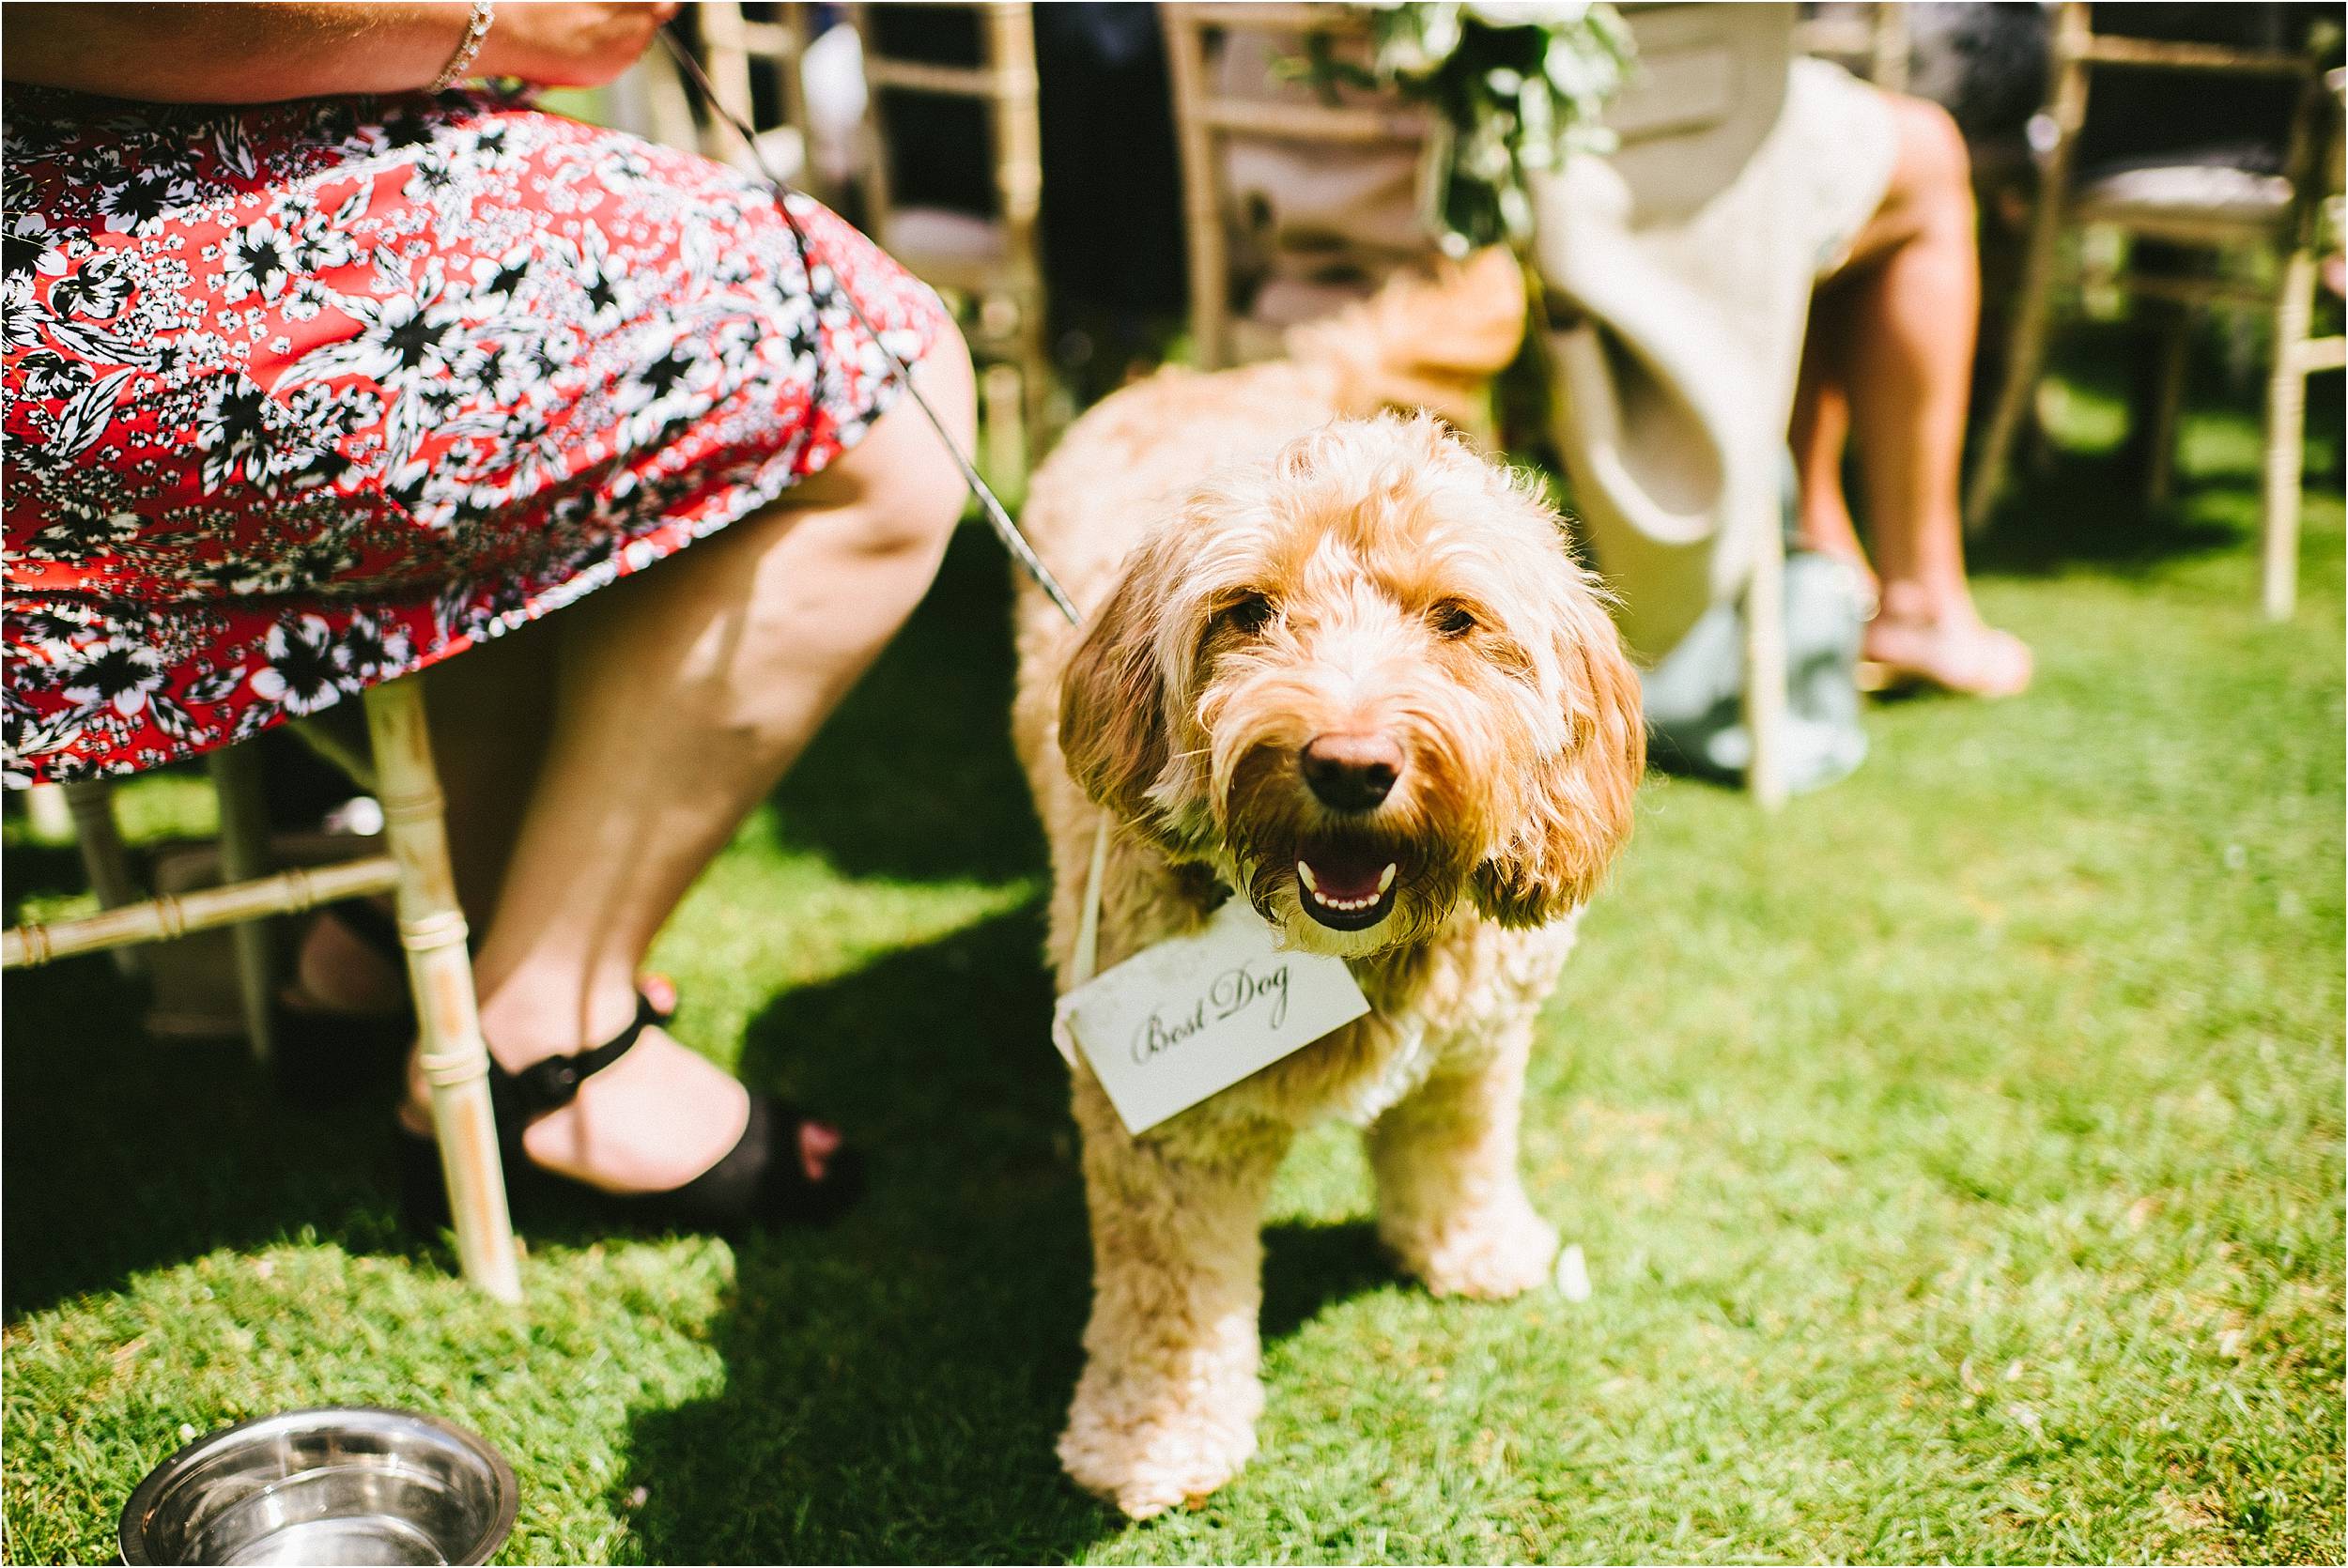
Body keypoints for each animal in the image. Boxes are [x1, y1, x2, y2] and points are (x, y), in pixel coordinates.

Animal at [1014, 256, 1653, 1521]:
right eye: (1249, 611)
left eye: (1455, 619)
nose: (1350, 763)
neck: (1354, 949)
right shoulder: (1163, 1132)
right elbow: (1168, 1298)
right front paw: (1153, 1436)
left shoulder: (1477, 1041)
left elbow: (1457, 1145)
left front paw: (1472, 1247)